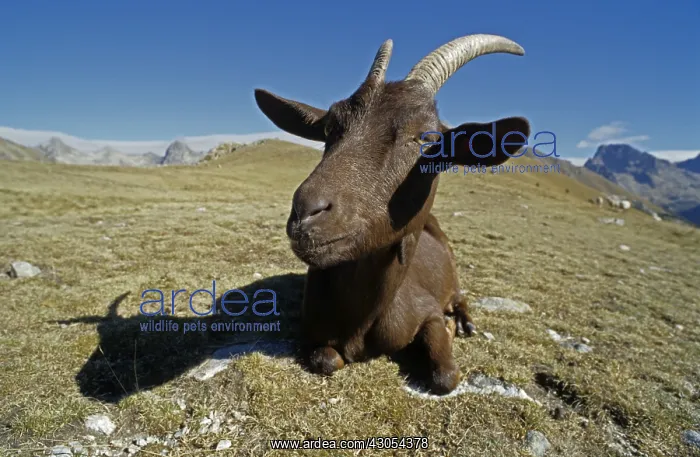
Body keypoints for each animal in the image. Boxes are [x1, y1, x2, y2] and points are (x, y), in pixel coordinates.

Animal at [254, 34, 531, 394]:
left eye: (427, 139)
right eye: (329, 128)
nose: (307, 212)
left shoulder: (427, 309)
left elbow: (445, 376)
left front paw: (450, 330)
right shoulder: (311, 329)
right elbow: (328, 360)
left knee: (460, 296)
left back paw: (464, 323)